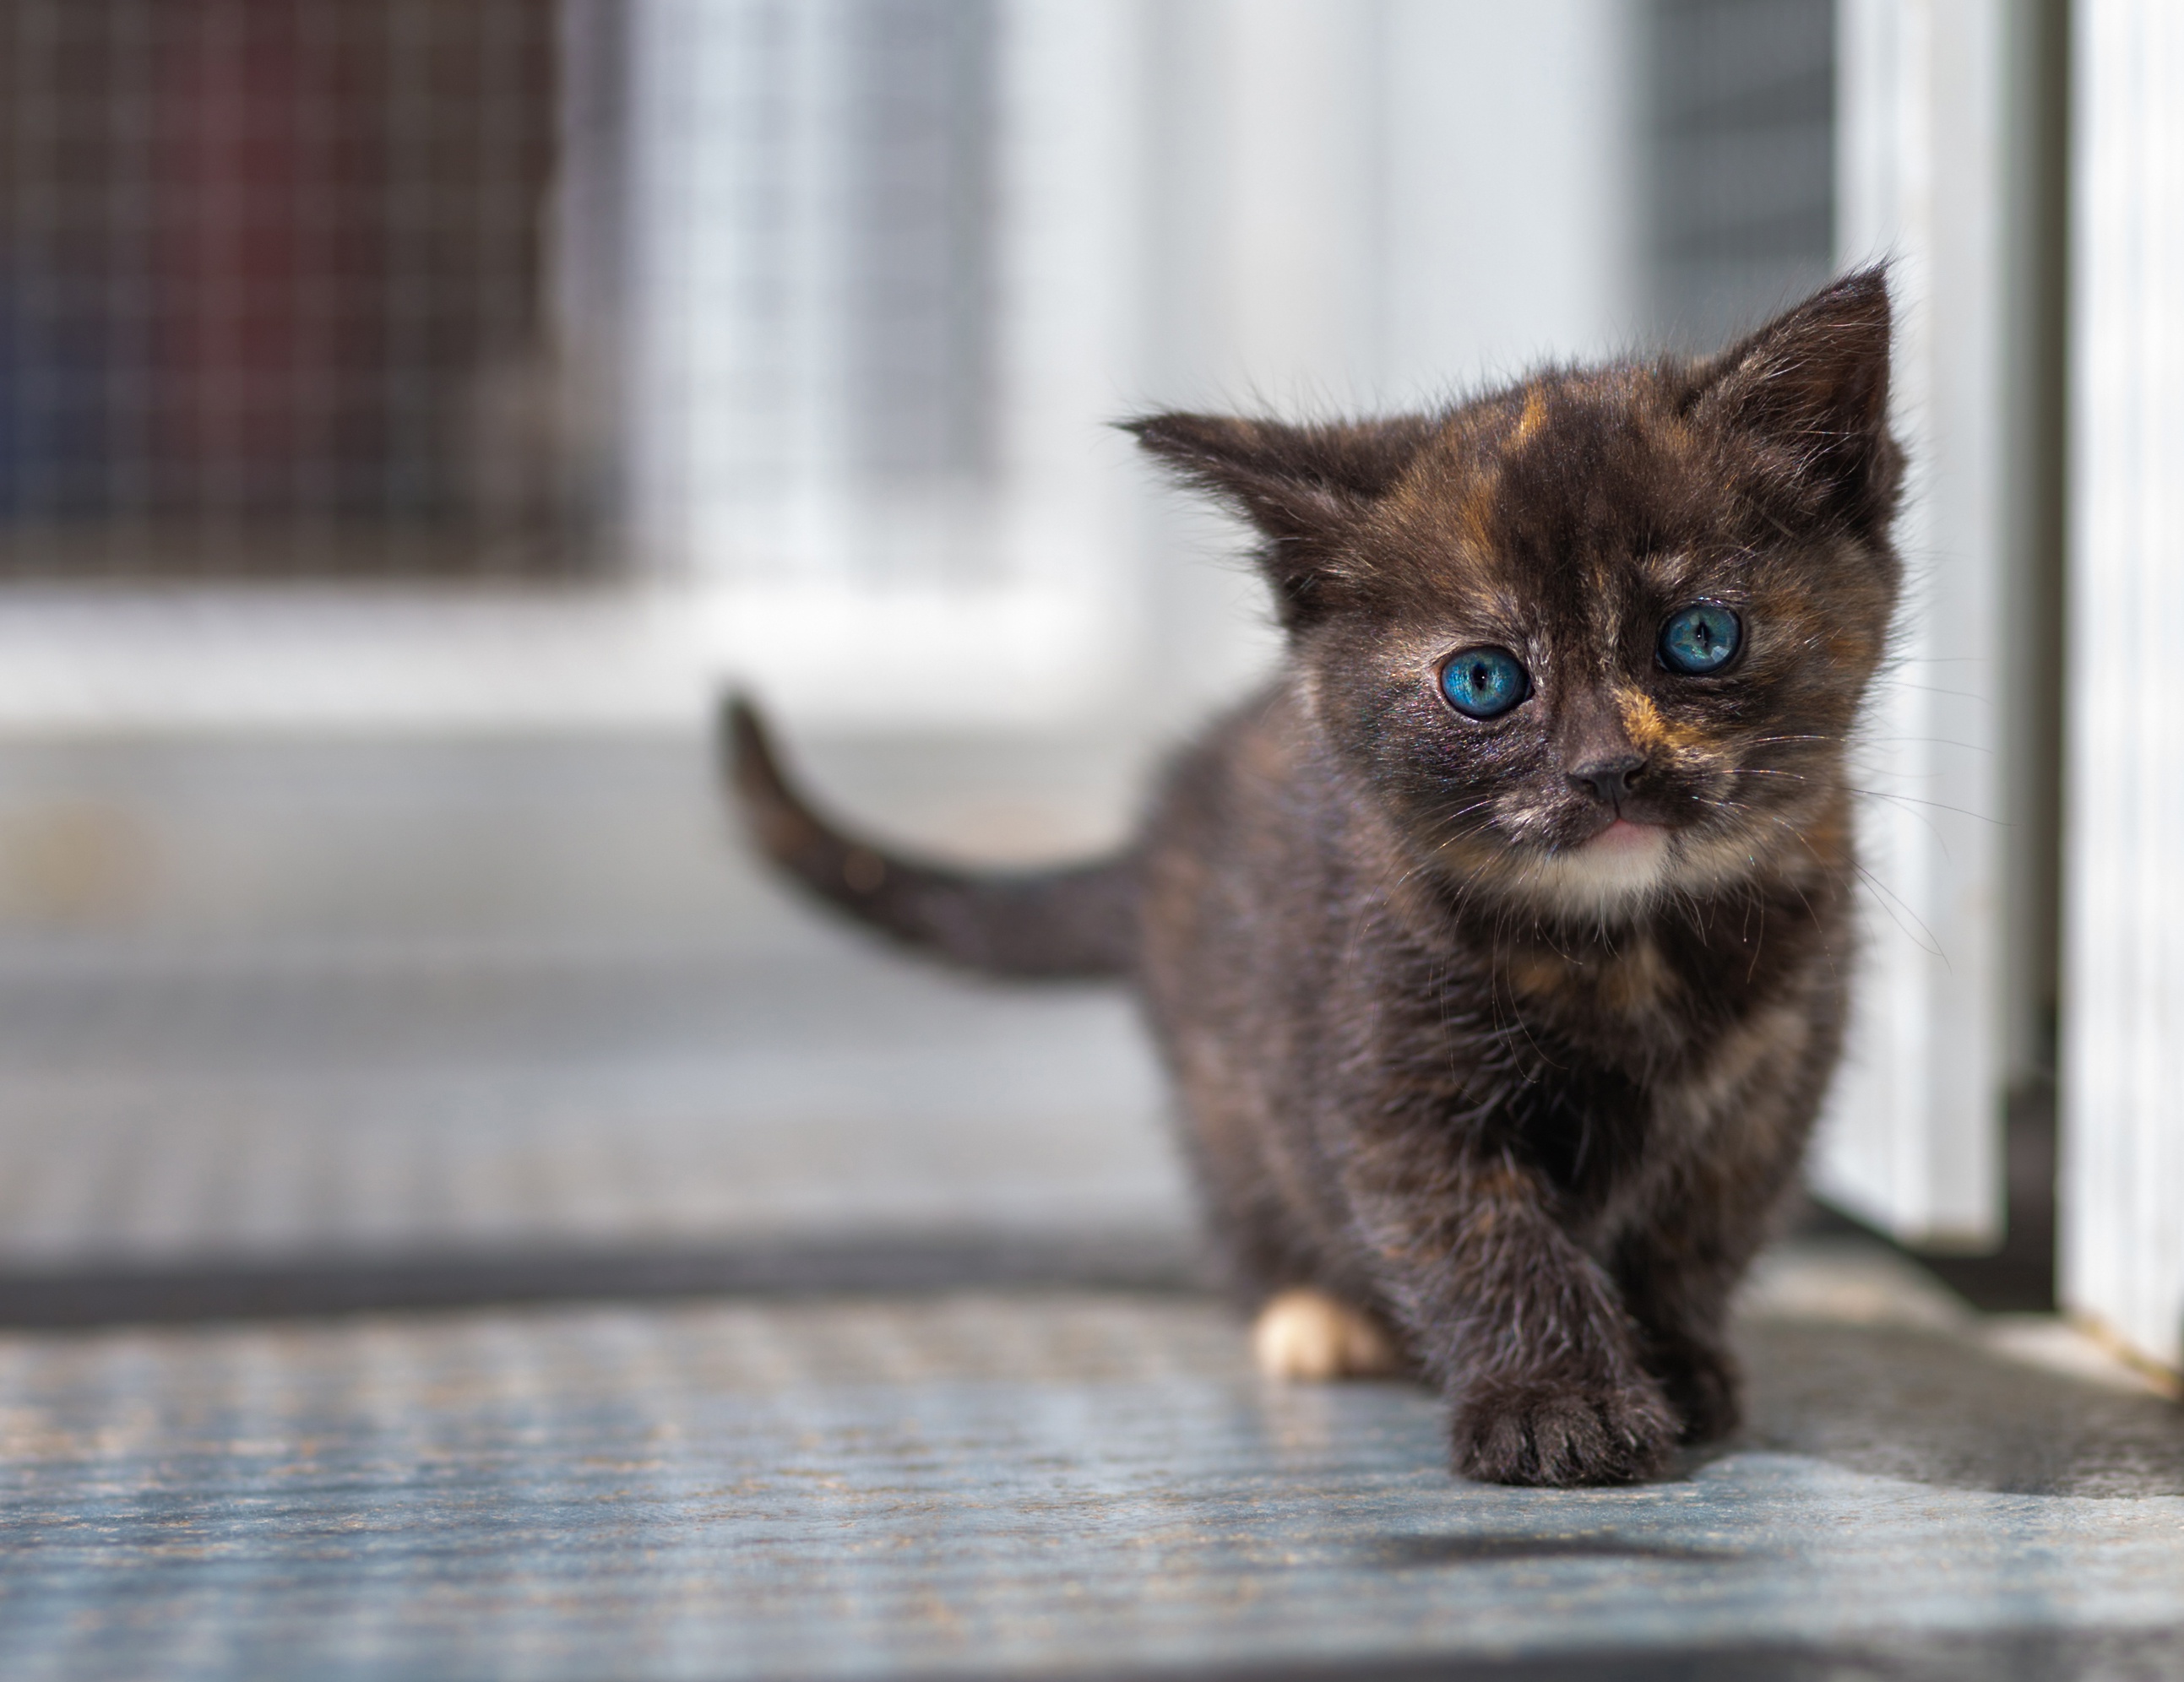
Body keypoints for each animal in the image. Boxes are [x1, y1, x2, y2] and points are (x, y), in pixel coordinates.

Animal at [725, 269, 1904, 1485]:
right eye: (1483, 681)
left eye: (1701, 637)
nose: (1606, 768)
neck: (1627, 948)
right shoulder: (1391, 1077)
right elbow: (1479, 1239)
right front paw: (1555, 1401)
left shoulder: (1773, 1078)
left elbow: (1701, 1233)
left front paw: (1673, 1359)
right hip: (1221, 1079)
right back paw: (1313, 1313)